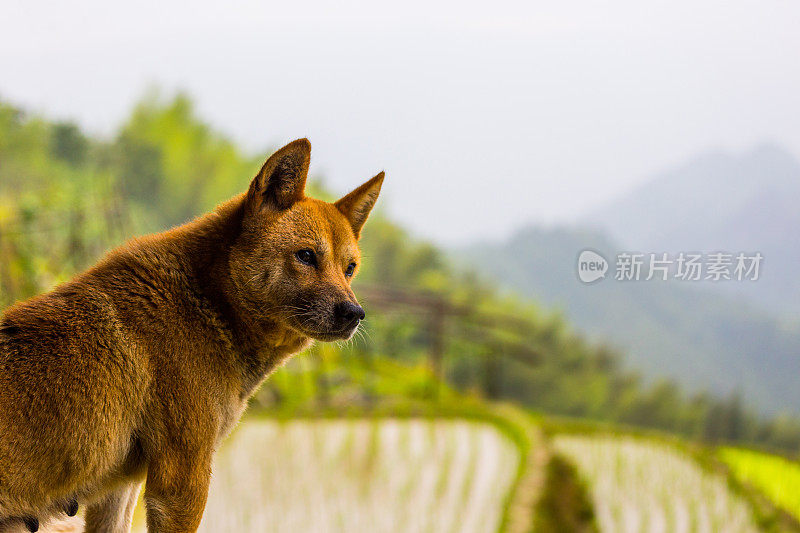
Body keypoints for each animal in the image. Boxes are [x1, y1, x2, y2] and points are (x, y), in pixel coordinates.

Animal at [0, 139, 384, 528]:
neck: (208, 302)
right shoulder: (182, 482)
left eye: (349, 269)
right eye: (306, 256)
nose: (355, 314)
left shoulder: (119, 491)